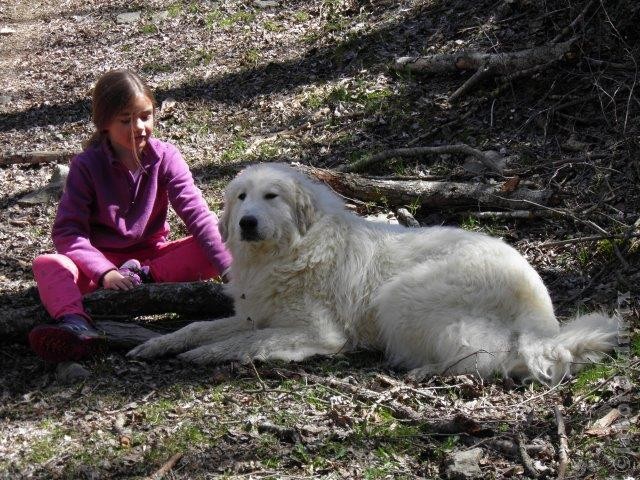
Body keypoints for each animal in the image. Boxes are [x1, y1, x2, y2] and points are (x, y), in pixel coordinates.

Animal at [126, 163, 620, 384]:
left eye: (270, 197)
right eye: (242, 196)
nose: (245, 223)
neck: (291, 250)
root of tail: (542, 313)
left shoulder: (317, 332)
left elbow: (247, 343)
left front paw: (204, 356)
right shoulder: (253, 314)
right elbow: (197, 327)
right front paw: (158, 345)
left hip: (399, 295)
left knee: (493, 357)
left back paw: (427, 370)